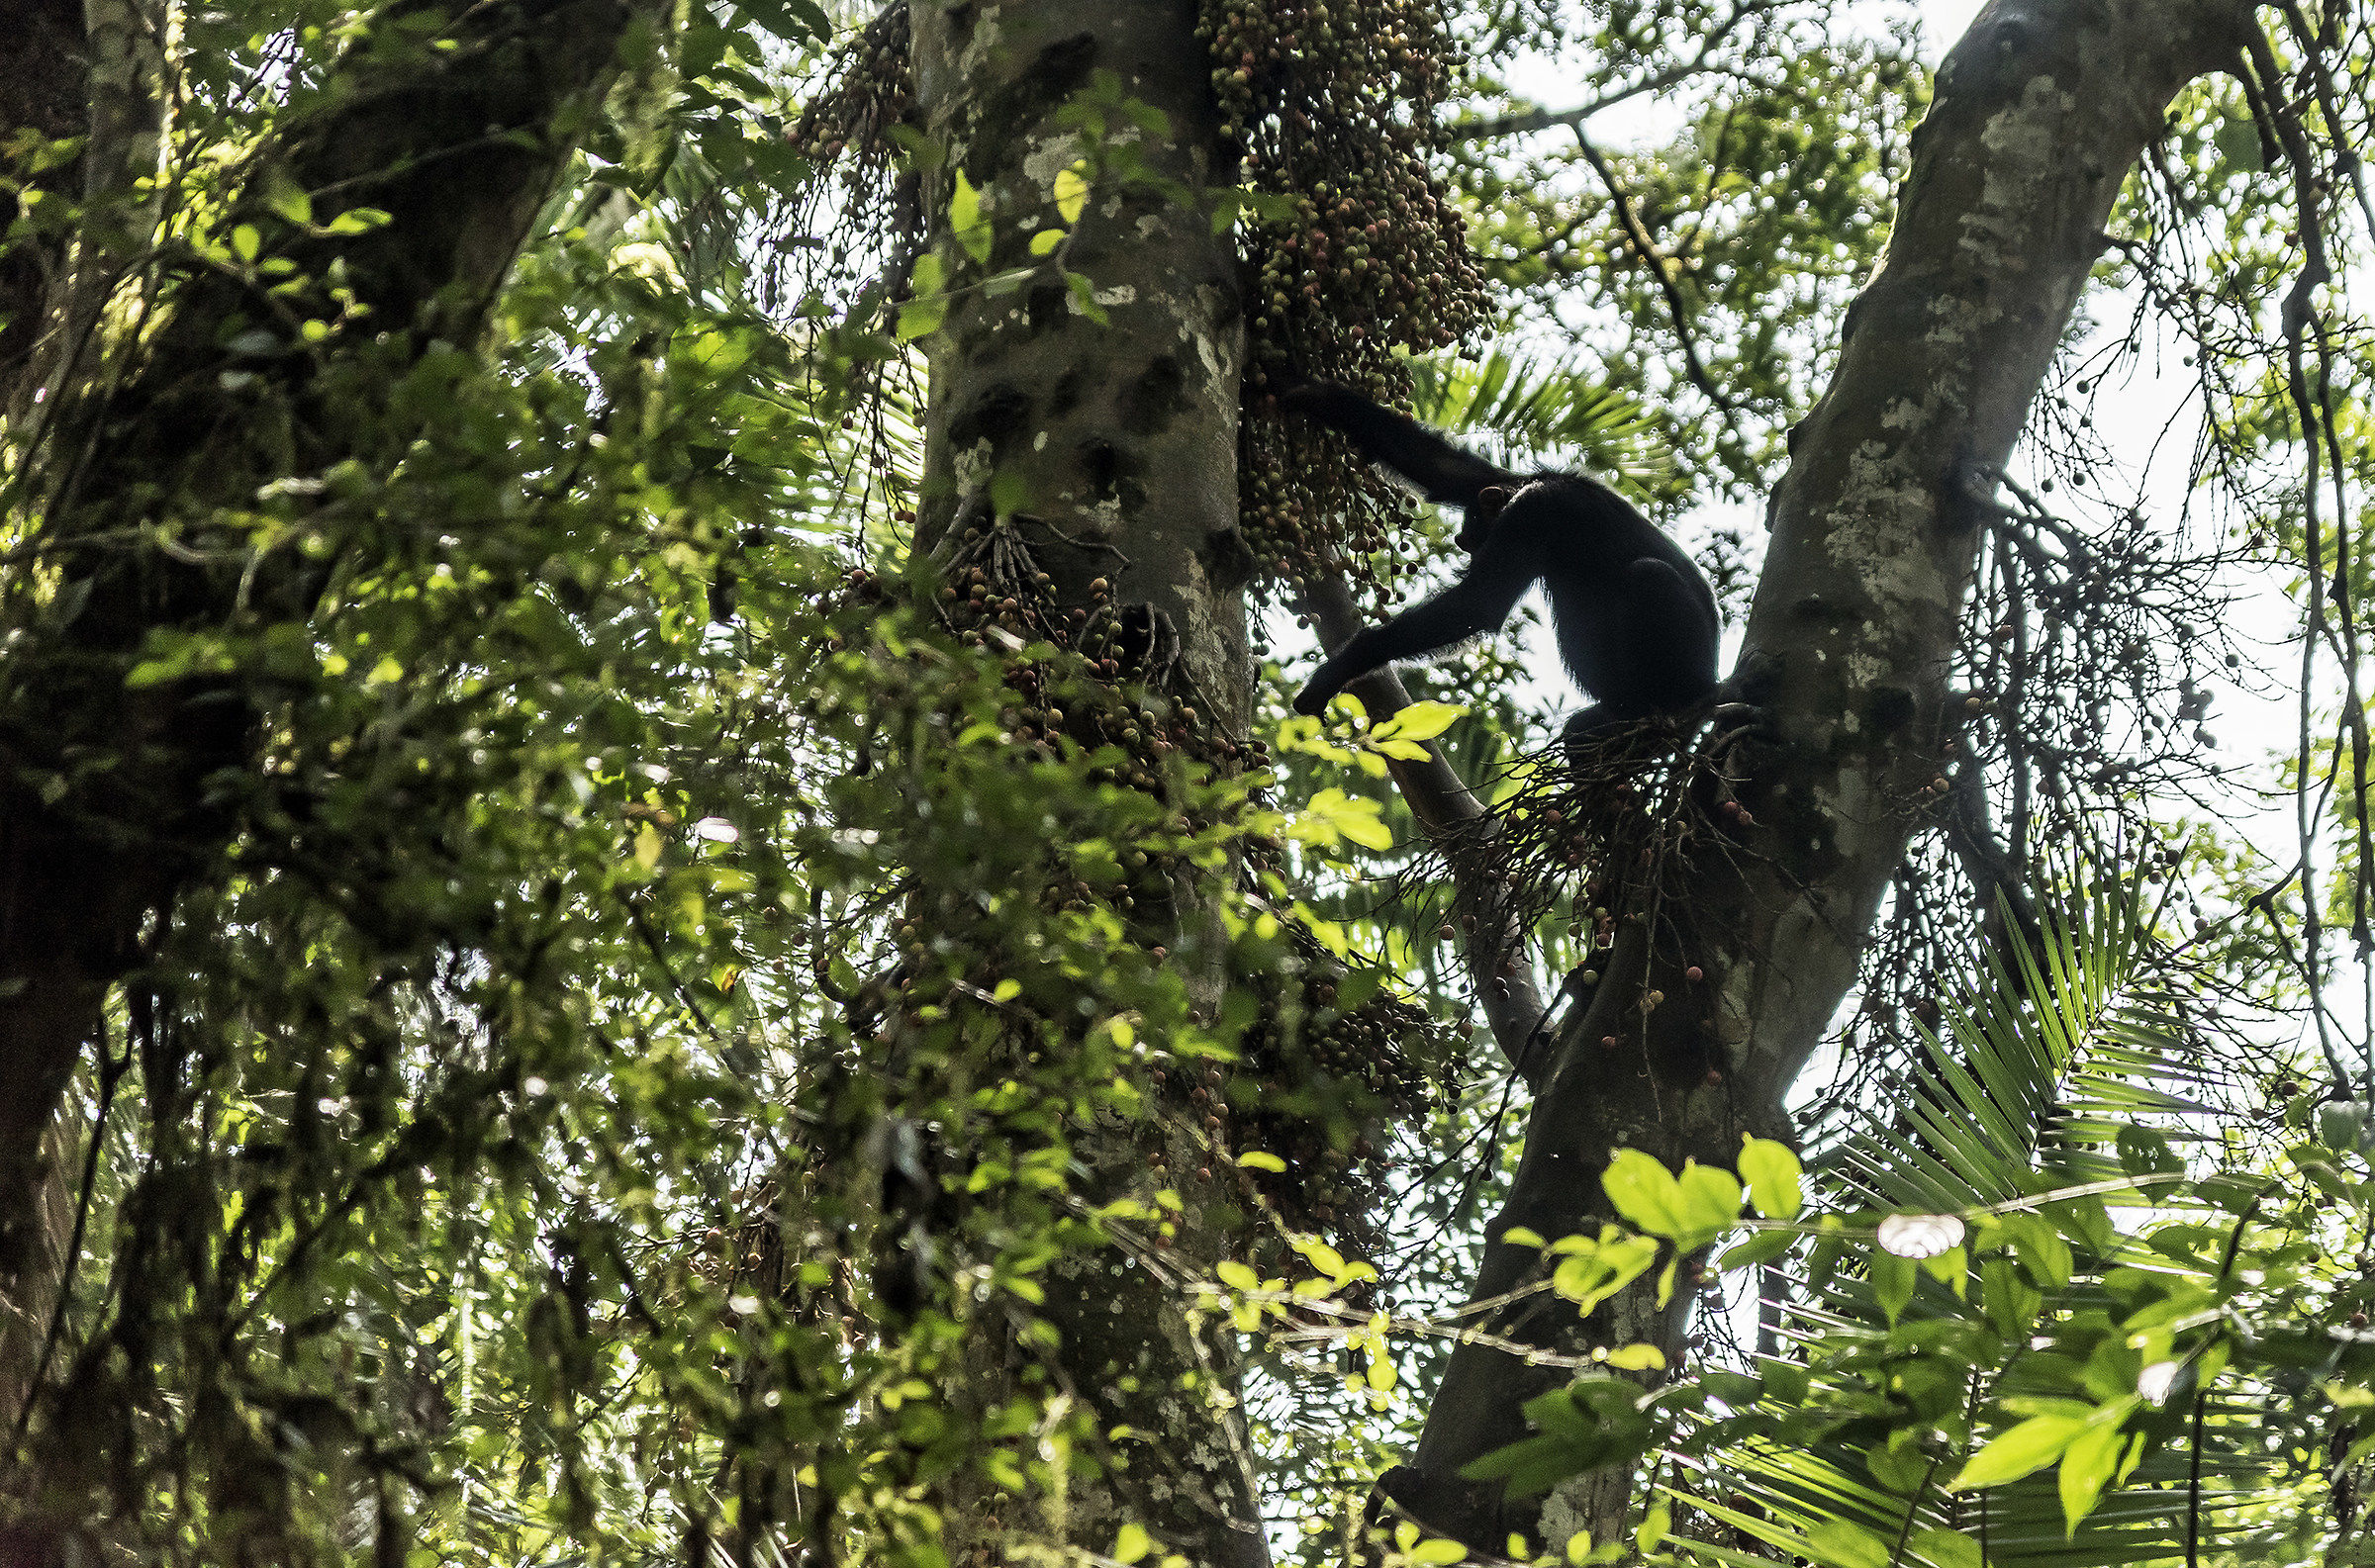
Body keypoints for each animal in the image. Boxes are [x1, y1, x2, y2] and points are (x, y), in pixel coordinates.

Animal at [1281, 381, 1721, 741]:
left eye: (1474, 523)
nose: (1462, 538)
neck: (1524, 489)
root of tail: (1712, 690)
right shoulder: (1489, 481)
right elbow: (1440, 465)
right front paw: (1312, 392)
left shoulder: (1531, 512)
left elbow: (1477, 602)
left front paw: (1339, 669)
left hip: (1691, 667)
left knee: (1650, 575)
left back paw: (1661, 702)